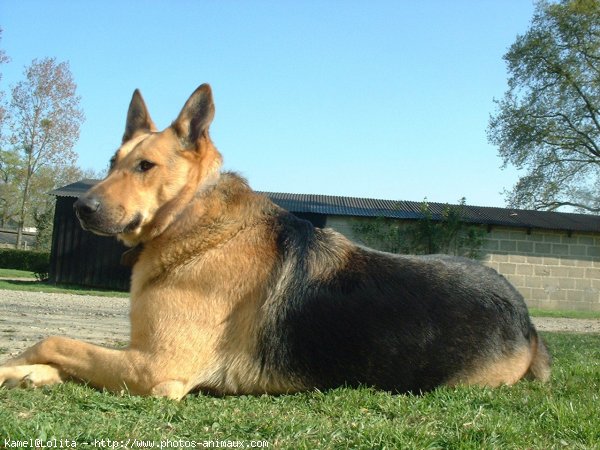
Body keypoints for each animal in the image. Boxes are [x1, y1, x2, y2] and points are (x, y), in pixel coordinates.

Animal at [1, 85, 552, 400]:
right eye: (112, 163)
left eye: (145, 166)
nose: (80, 208)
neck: (191, 219)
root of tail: (527, 321)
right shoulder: (138, 356)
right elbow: (64, 350)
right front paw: (30, 374)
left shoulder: (155, 369)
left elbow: (53, 339)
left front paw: (14, 366)